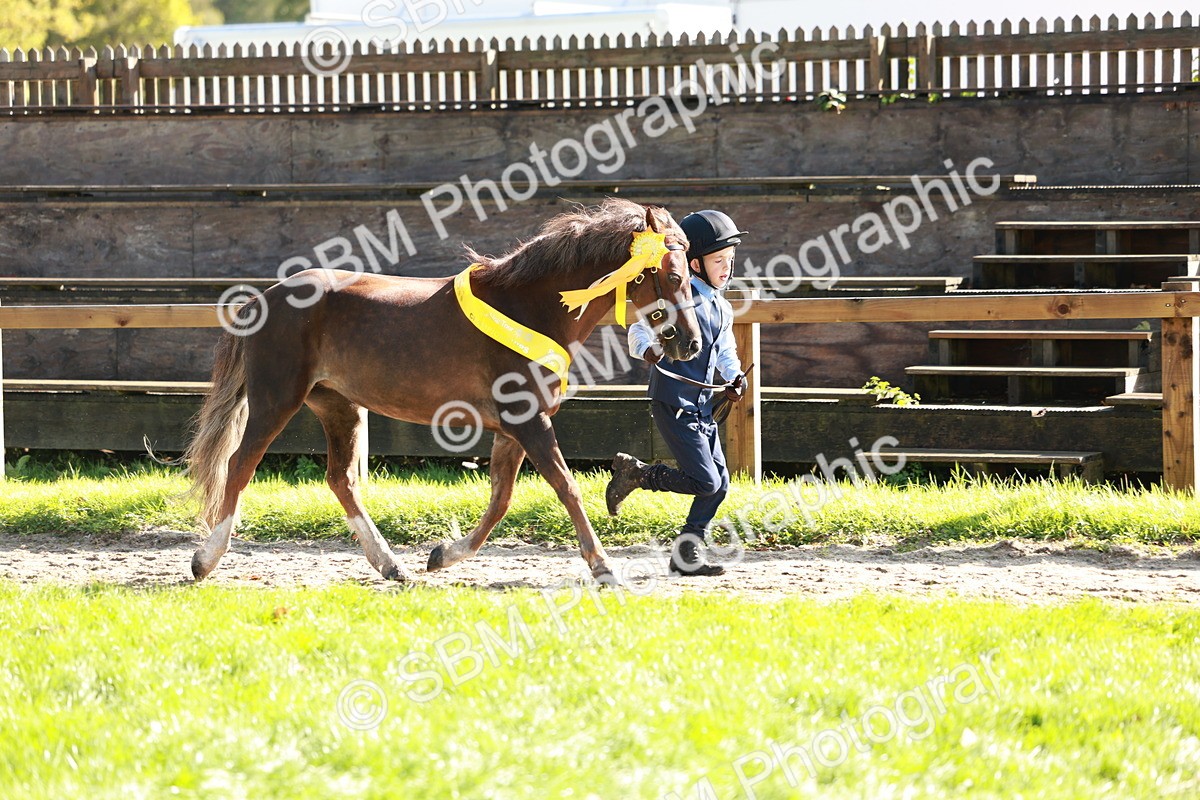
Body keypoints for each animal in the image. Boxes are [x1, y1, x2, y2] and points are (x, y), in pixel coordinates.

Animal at [182, 199, 702, 585]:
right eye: (674, 276)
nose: (691, 342)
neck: (529, 307)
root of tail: (263, 298)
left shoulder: (512, 428)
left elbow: (500, 499)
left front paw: (442, 555)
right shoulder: (527, 420)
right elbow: (566, 486)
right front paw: (603, 566)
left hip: (338, 405)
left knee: (341, 479)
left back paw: (392, 566)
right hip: (276, 400)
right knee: (240, 465)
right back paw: (205, 560)